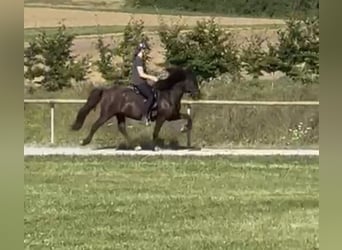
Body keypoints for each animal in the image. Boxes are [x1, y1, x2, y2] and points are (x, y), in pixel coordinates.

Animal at [71, 65, 200, 149]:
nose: (197, 94)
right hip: (107, 114)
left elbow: (188, 117)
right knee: (95, 125)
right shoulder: (162, 117)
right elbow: (156, 131)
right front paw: (155, 147)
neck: (168, 95)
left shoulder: (172, 116)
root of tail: (106, 91)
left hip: (119, 114)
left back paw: (135, 146)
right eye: (192, 81)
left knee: (122, 128)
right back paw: (84, 141)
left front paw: (184, 128)